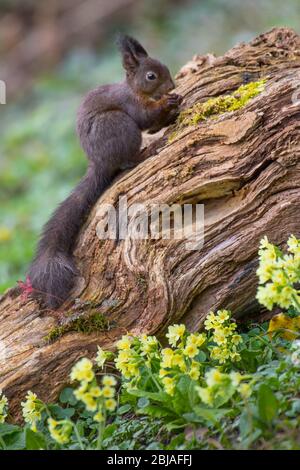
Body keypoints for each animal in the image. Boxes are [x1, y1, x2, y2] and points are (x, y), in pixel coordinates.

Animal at [27, 35, 183, 308]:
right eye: (151, 76)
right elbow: (146, 118)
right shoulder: (132, 106)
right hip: (119, 126)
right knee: (126, 161)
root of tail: (98, 163)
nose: (171, 85)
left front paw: (174, 106)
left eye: (163, 66)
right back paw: (145, 152)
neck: (133, 90)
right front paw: (168, 103)